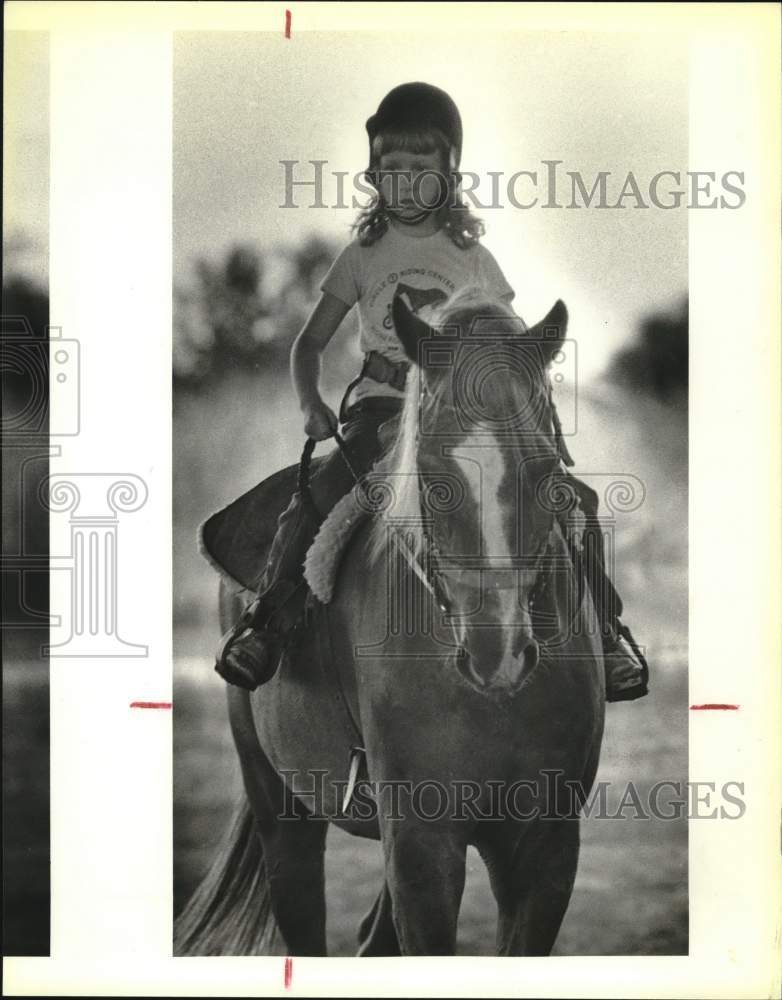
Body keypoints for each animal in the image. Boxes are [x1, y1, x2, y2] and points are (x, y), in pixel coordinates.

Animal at [176, 292, 608, 960]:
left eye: (545, 472)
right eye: (432, 474)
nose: (498, 652)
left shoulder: (546, 848)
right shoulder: (421, 847)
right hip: (278, 803)